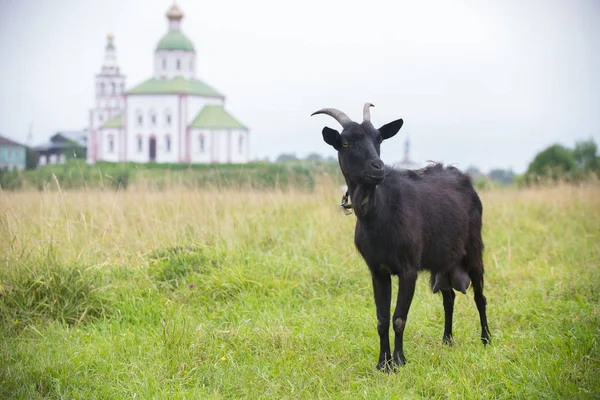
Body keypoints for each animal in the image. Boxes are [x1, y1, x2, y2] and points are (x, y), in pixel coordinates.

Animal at [312, 104, 490, 372]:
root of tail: (466, 180)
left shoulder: (408, 269)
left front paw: (399, 361)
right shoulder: (378, 271)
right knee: (448, 297)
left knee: (480, 295)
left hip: (473, 249)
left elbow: (398, 318)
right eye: (345, 142)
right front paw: (382, 363)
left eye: (379, 139)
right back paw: (447, 340)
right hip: (443, 263)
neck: (379, 215)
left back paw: (486, 340)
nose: (378, 167)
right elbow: (382, 319)